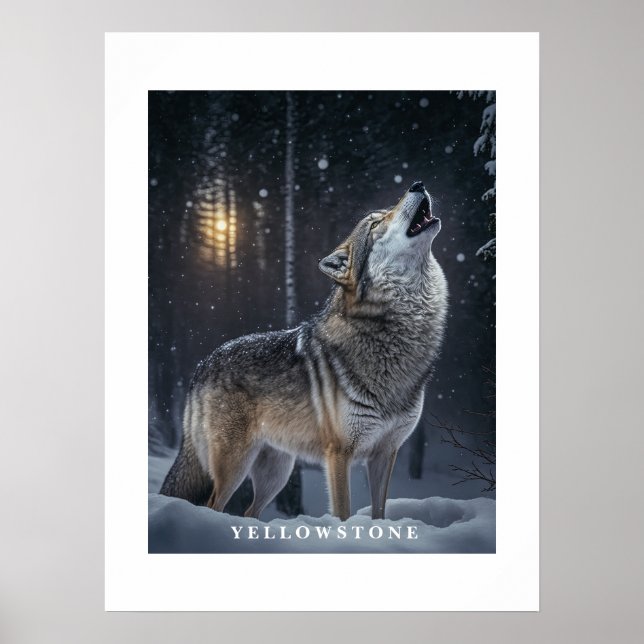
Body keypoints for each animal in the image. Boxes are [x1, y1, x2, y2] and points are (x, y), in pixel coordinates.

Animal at [160, 181, 448, 520]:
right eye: (376, 223)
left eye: (386, 212)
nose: (417, 184)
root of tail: (202, 364)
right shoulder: (339, 454)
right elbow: (343, 513)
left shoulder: (385, 453)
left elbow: (379, 512)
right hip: (235, 467)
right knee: (214, 506)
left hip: (277, 473)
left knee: (248, 513)